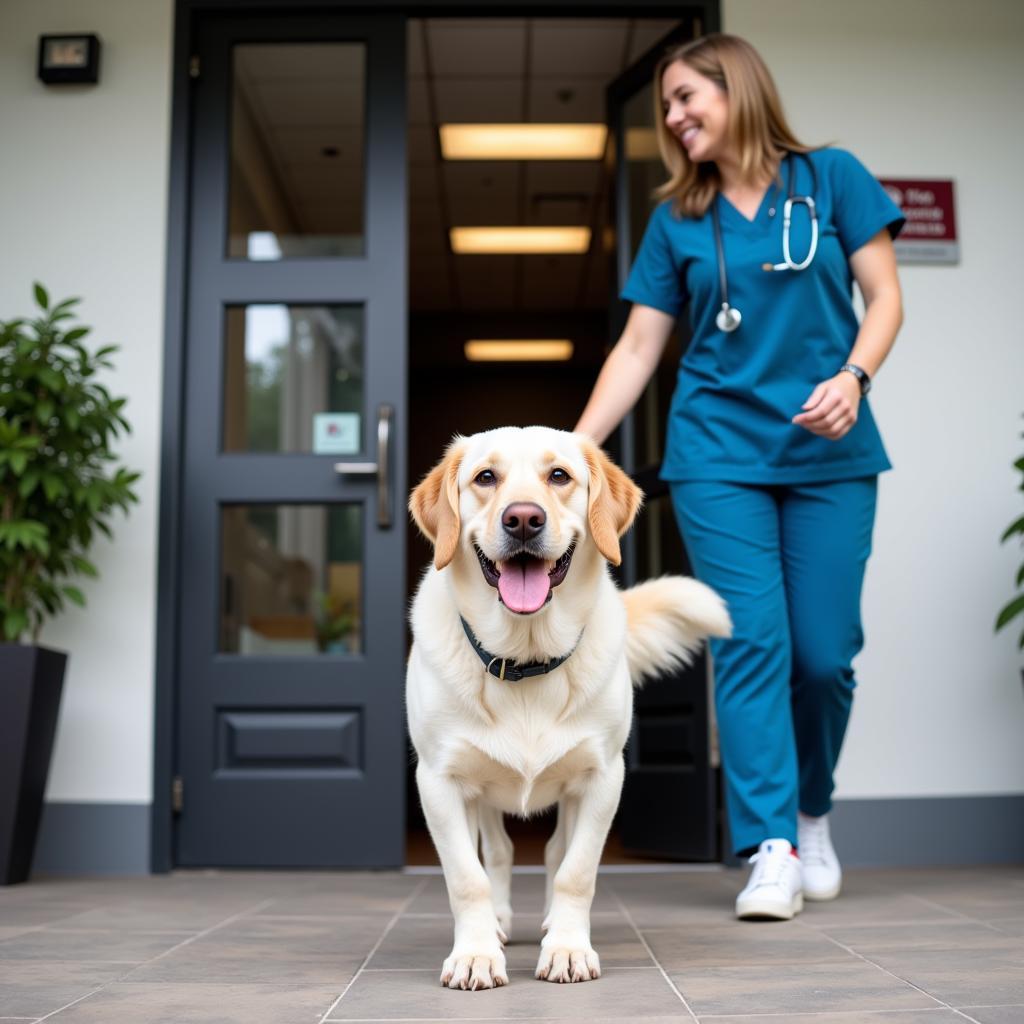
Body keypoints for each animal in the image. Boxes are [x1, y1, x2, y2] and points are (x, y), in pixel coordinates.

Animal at [407, 428, 729, 987]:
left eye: (559, 476)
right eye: (485, 477)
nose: (523, 519)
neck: (525, 659)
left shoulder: (602, 778)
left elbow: (575, 872)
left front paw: (567, 948)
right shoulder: (439, 781)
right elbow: (468, 878)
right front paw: (475, 953)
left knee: (556, 852)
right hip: (479, 792)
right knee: (498, 852)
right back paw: (498, 923)